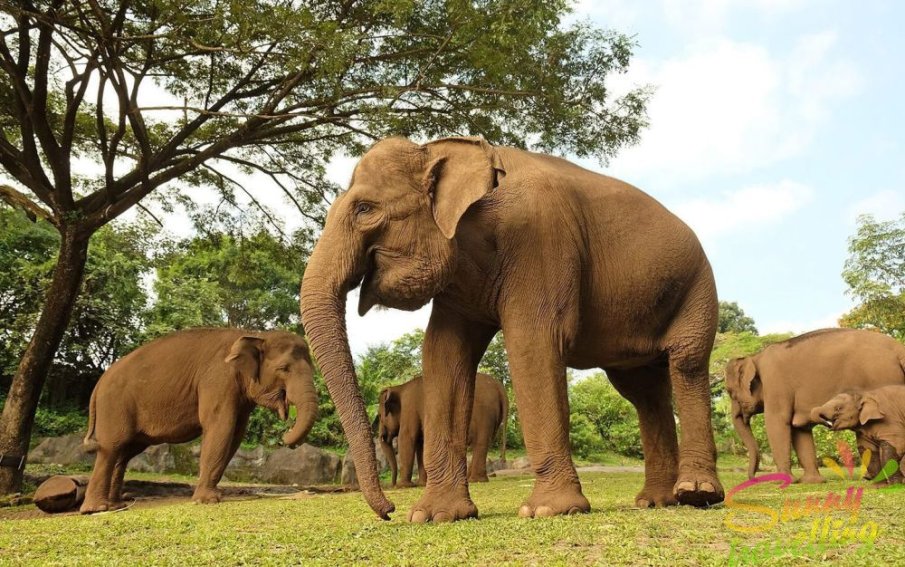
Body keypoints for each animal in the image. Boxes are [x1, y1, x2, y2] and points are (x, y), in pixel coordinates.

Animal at [79, 328, 318, 516]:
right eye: (284, 368)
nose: (285, 436)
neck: (256, 334)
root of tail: (99, 383)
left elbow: (235, 434)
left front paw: (210, 496)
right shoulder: (218, 379)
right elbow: (220, 426)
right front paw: (207, 501)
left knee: (124, 452)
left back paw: (115, 505)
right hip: (114, 405)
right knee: (111, 447)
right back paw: (96, 509)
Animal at [370, 372, 504, 488]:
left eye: (380, 416)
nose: (392, 485)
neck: (400, 388)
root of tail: (499, 387)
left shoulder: (409, 409)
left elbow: (407, 439)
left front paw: (403, 486)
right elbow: (421, 443)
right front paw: (422, 484)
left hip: (485, 415)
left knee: (480, 443)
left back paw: (475, 480)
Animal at [720, 328, 904, 484]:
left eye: (730, 392)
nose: (753, 479)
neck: (755, 356)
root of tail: (898, 348)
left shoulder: (775, 384)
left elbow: (777, 422)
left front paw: (783, 481)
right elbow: (799, 429)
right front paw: (812, 481)